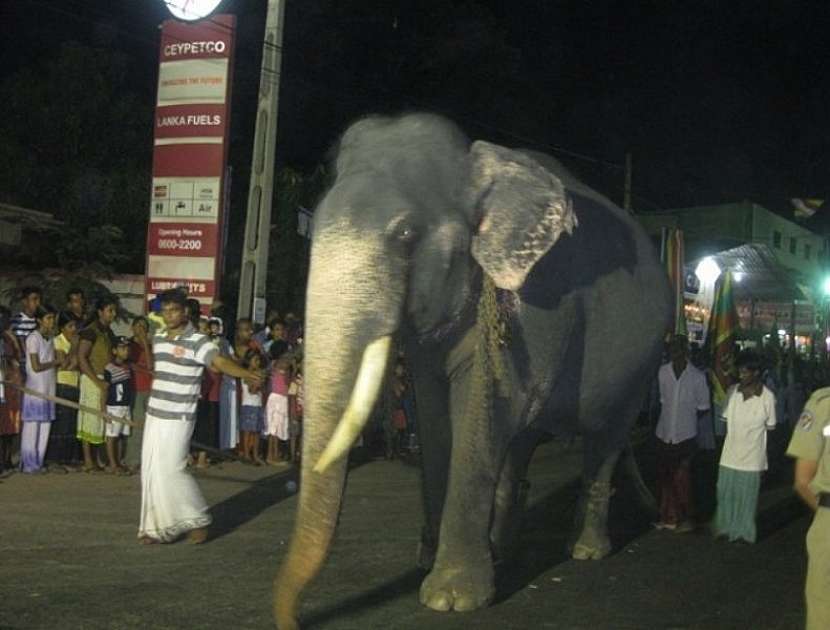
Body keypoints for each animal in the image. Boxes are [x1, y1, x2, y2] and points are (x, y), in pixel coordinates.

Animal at [274, 111, 676, 628]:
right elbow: (434, 414)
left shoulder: (540, 306)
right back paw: (504, 550)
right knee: (525, 439)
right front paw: (428, 564)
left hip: (643, 362)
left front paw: (451, 598)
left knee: (605, 439)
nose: (290, 619)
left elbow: (485, 411)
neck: (478, 164)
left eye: (406, 235)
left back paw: (586, 551)